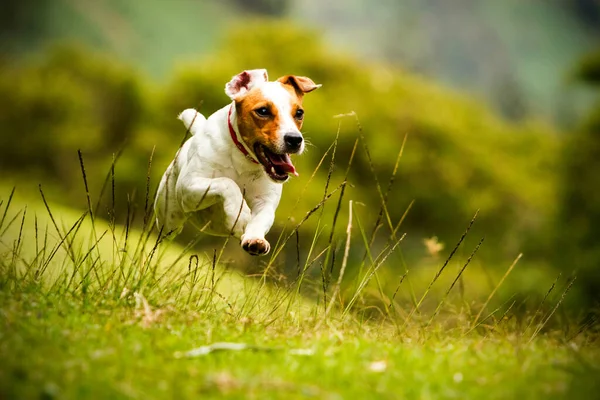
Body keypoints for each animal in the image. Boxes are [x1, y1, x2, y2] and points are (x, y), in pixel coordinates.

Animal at [155, 69, 322, 256]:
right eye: (263, 111)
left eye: (299, 113)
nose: (294, 139)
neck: (243, 158)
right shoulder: (188, 187)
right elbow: (227, 183)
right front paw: (239, 217)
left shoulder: (265, 201)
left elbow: (260, 219)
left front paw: (254, 239)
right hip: (169, 217)